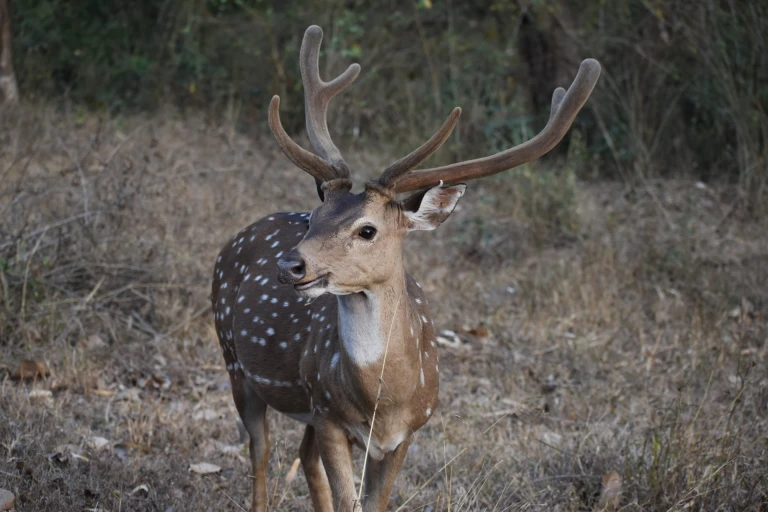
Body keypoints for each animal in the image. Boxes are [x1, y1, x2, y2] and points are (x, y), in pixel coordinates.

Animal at [213, 27, 604, 512]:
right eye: (314, 216)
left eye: (367, 229)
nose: (290, 263)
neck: (385, 401)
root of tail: (238, 237)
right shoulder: (328, 413)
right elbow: (346, 498)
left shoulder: (405, 433)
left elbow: (370, 502)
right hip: (233, 356)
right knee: (261, 450)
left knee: (301, 457)